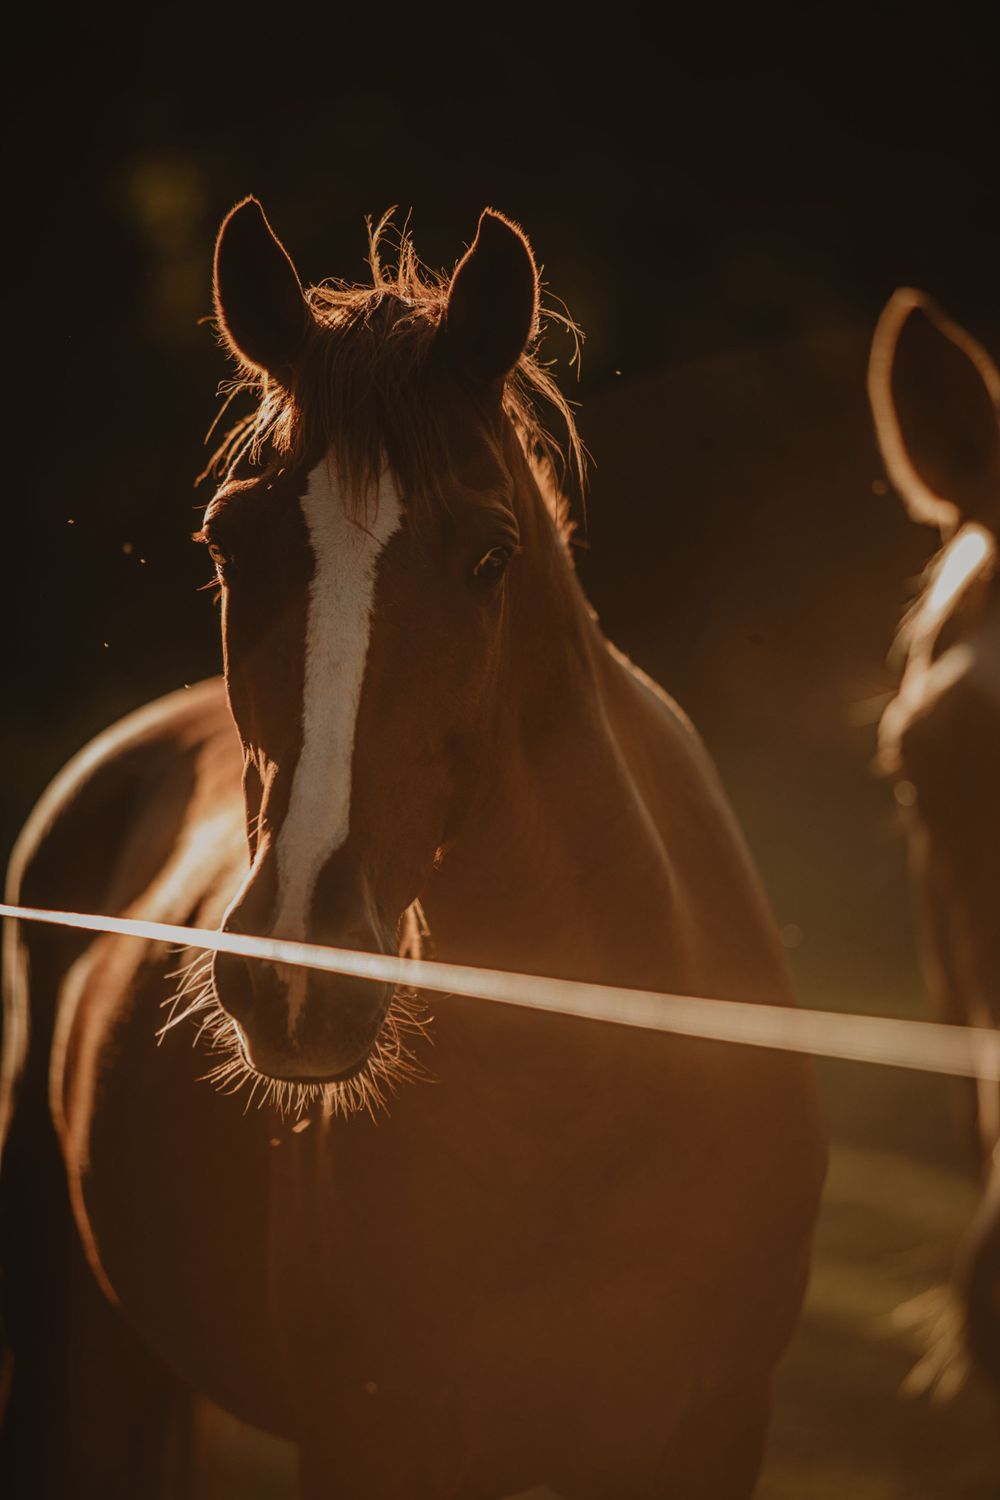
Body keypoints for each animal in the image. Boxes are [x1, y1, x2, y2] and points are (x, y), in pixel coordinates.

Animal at [0, 200, 826, 1499]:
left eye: (489, 556)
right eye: (228, 544)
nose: (298, 975)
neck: (576, 1112)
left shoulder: (714, 1431)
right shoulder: (371, 1436)